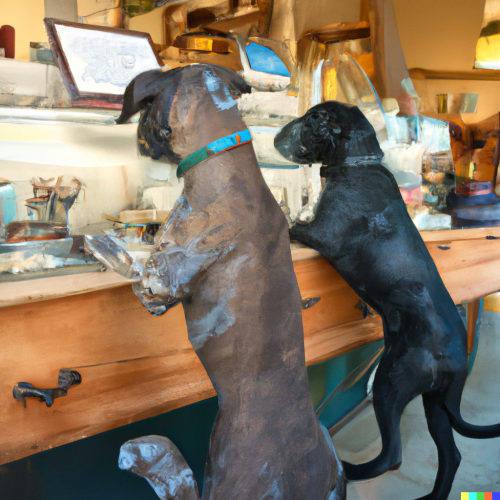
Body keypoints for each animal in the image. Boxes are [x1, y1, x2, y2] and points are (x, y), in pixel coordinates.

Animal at [274, 99, 500, 498]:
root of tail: (457, 359)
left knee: (392, 455)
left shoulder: (321, 232)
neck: (358, 162)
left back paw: (349, 469)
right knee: (451, 454)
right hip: (436, 405)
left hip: (390, 381)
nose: (275, 137)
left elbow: (292, 222)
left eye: (312, 118)